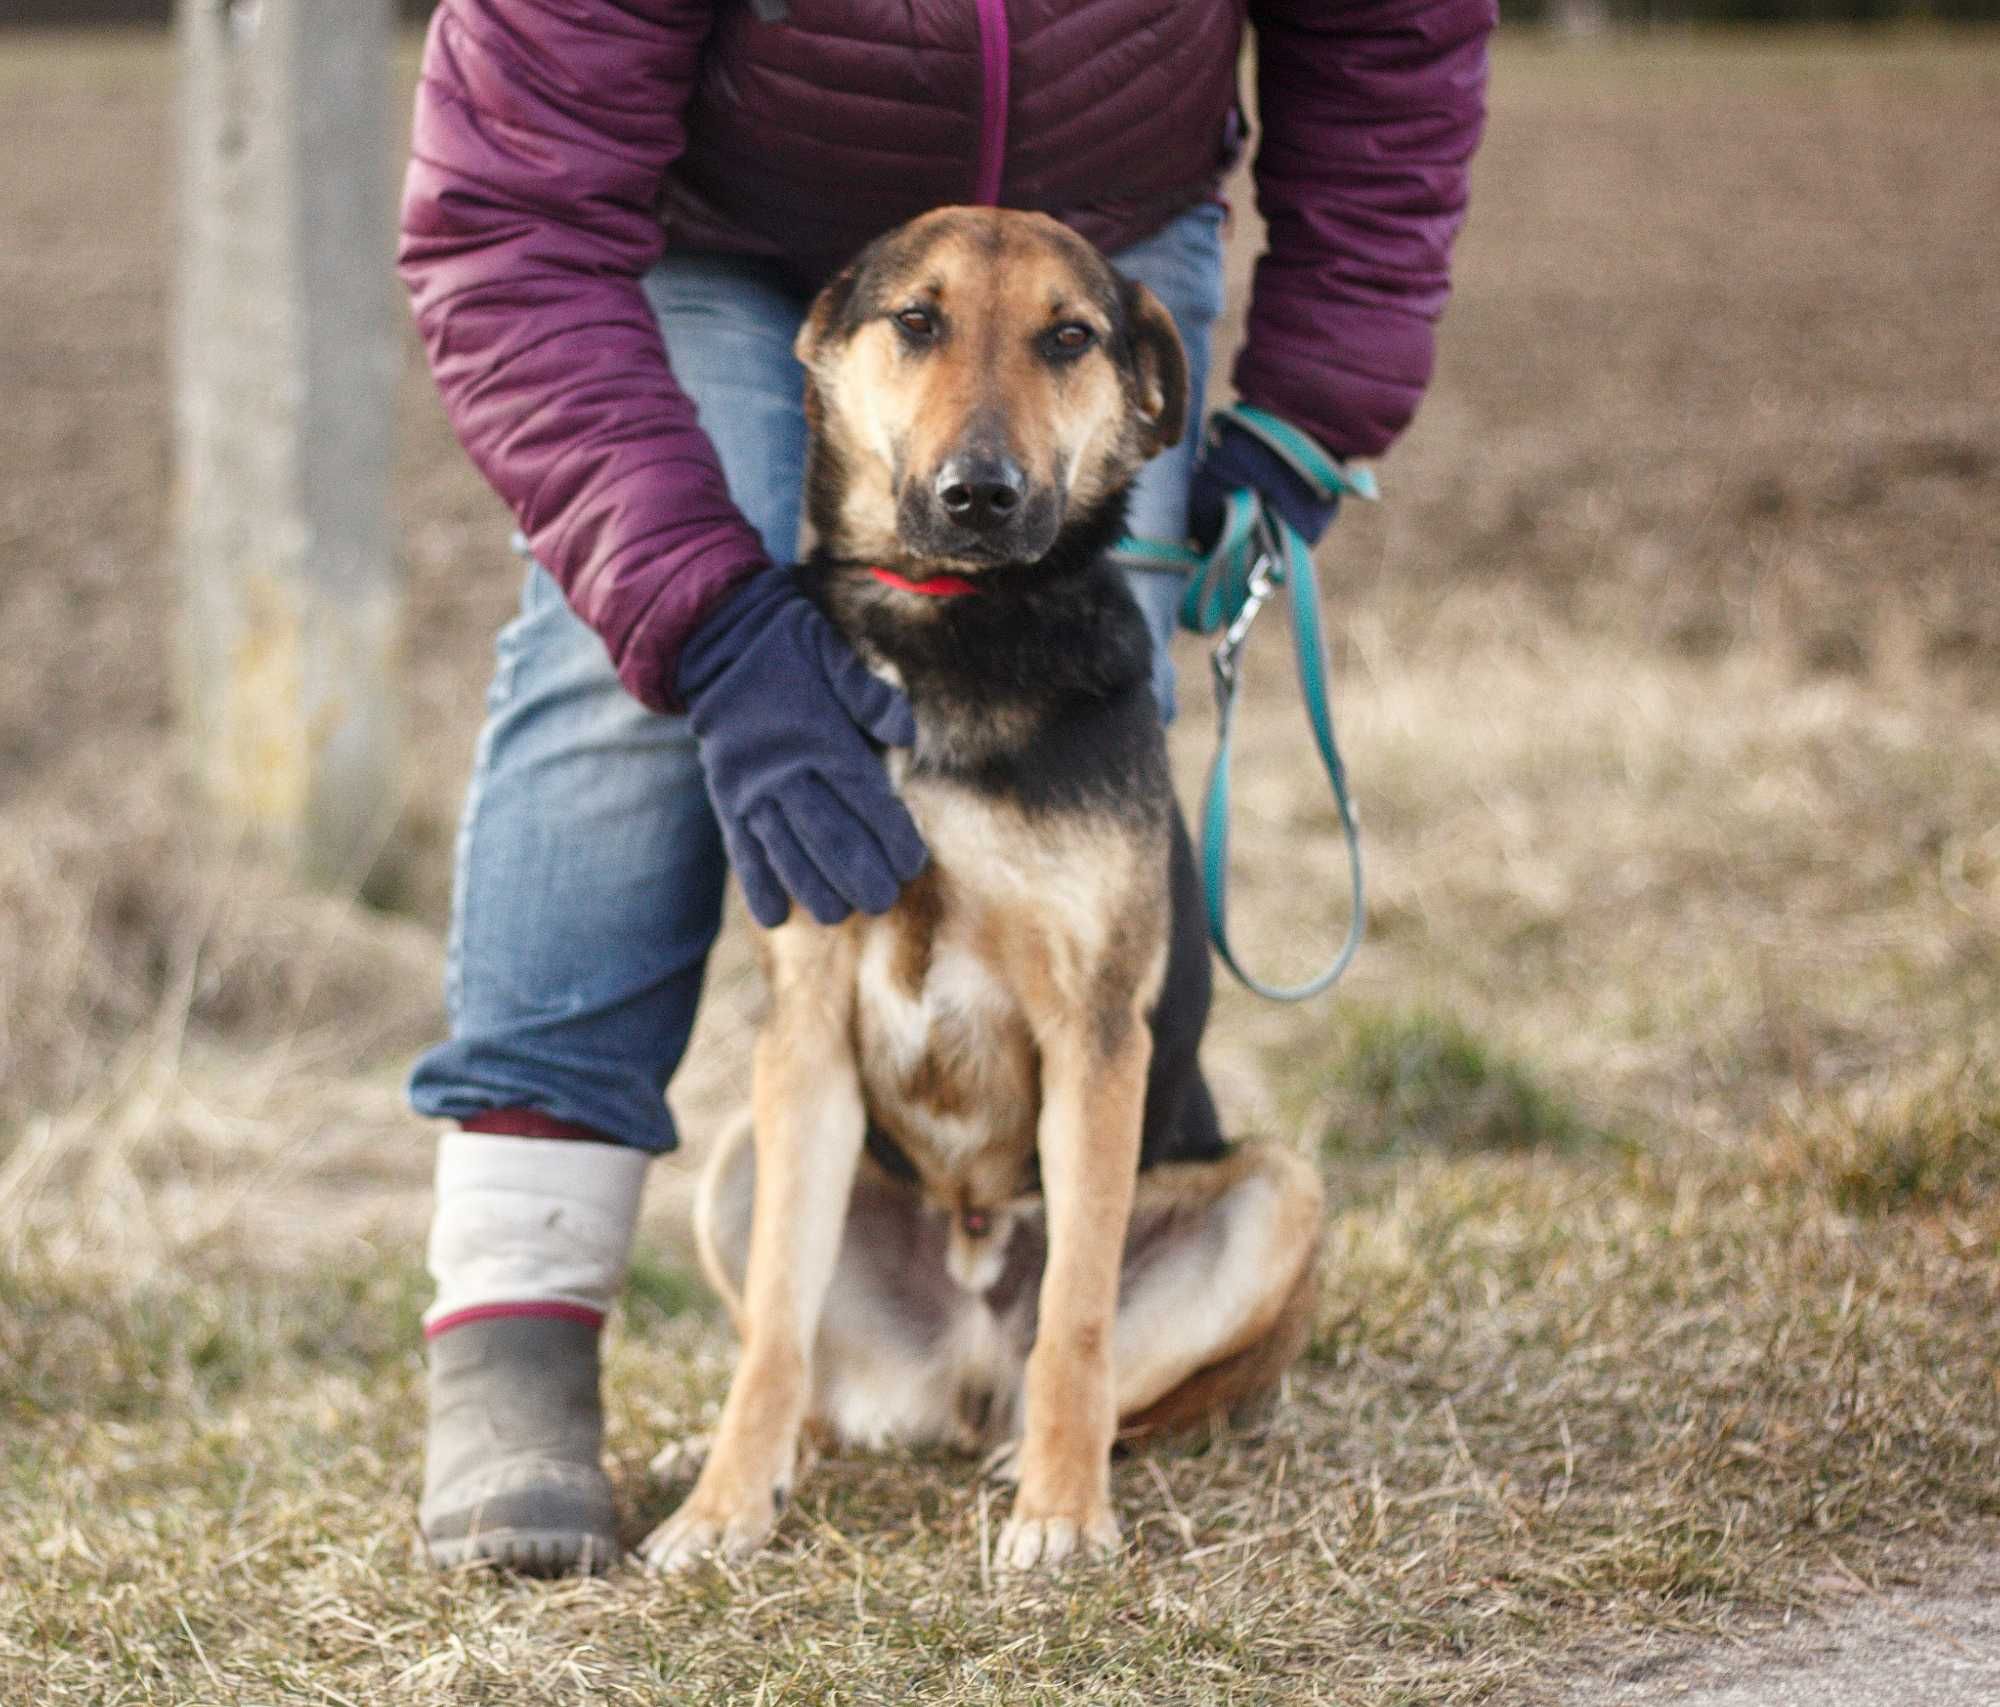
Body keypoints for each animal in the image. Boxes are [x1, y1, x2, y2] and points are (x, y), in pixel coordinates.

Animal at [644, 210, 1328, 1575]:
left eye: (1068, 337)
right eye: (917, 321)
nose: (980, 496)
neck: (949, 628)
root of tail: (957, 1369)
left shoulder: (1094, 1035)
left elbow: (1077, 1320)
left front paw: (1061, 1513)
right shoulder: (806, 1035)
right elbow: (771, 1333)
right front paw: (725, 1508)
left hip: (1281, 1194)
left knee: (1119, 1374)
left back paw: (1035, 1456)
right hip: (747, 1152)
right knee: (802, 1361)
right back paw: (757, 1454)